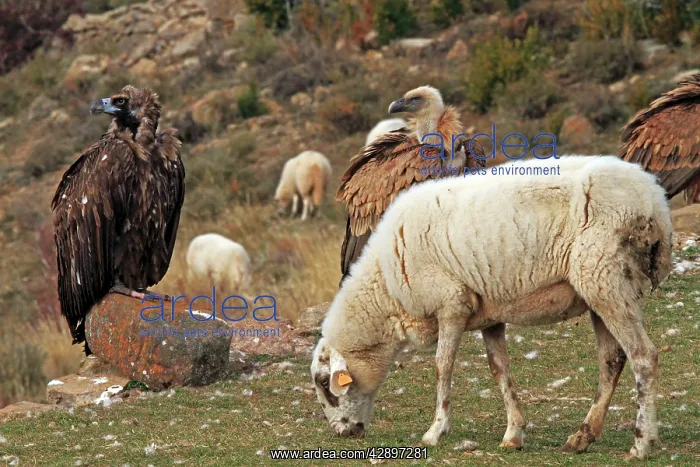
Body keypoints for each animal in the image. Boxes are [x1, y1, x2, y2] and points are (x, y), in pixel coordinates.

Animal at [311, 155, 672, 460]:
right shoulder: (489, 315)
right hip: (600, 289)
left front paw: (435, 431)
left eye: (326, 387)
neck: (386, 289)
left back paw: (641, 443)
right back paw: (582, 437)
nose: (342, 433)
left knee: (644, 356)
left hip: (606, 280)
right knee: (612, 360)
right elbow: (500, 369)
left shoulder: (452, 303)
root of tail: (655, 203)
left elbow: (443, 366)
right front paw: (513, 434)